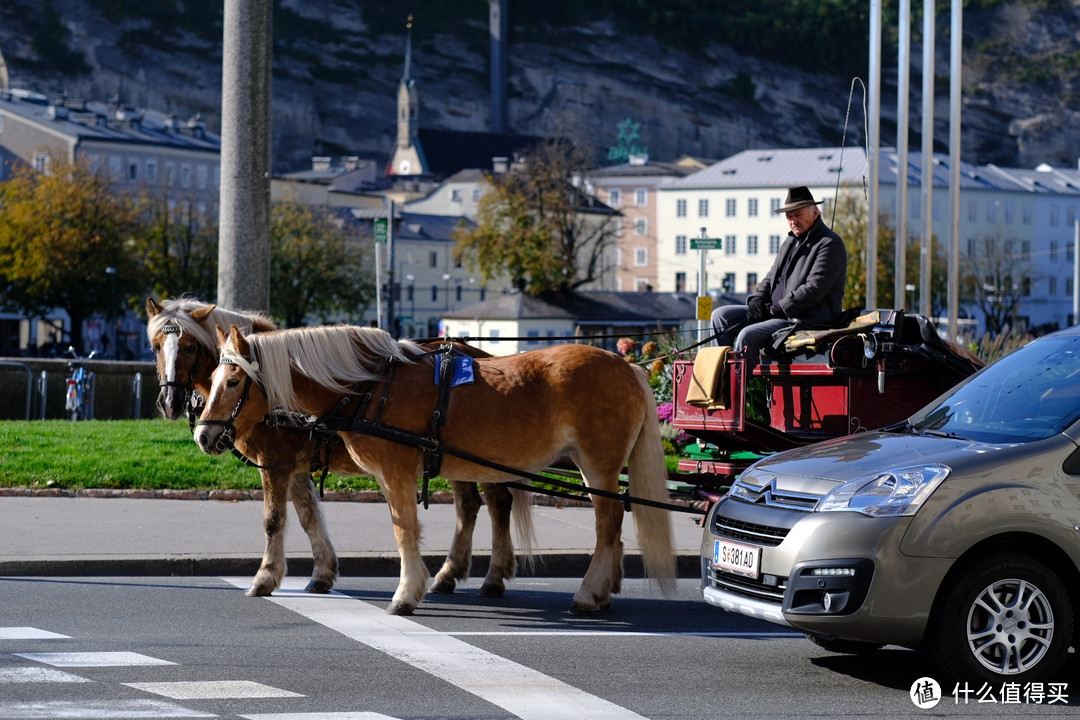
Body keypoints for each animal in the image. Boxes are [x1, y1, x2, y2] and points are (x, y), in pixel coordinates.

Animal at [143, 295, 531, 600]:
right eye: (156, 347)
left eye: (190, 347)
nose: (169, 402)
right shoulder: (294, 468)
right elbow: (307, 515)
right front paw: (323, 571)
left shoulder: (276, 464)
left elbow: (274, 520)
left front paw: (265, 577)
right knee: (470, 506)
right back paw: (453, 574)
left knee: (495, 503)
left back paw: (491, 575)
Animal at [194, 323, 673, 617]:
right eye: (211, 380)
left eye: (233, 382)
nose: (203, 435)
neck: (368, 387)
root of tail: (627, 365)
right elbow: (310, 517)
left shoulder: (382, 471)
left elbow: (400, 528)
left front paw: (406, 593)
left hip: (597, 464)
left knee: (606, 523)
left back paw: (588, 592)